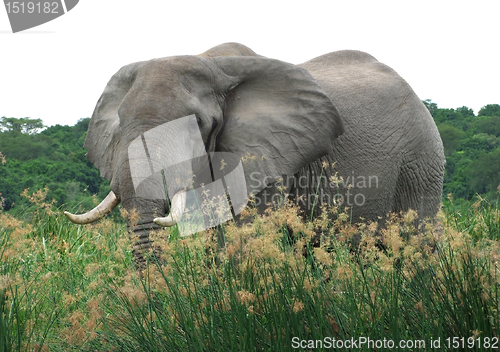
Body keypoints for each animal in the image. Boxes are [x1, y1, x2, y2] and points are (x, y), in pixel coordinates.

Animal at [63, 42, 446, 264]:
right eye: (120, 122)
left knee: (416, 244)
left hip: (421, 161)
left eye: (196, 124)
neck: (211, 62)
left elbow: (243, 234)